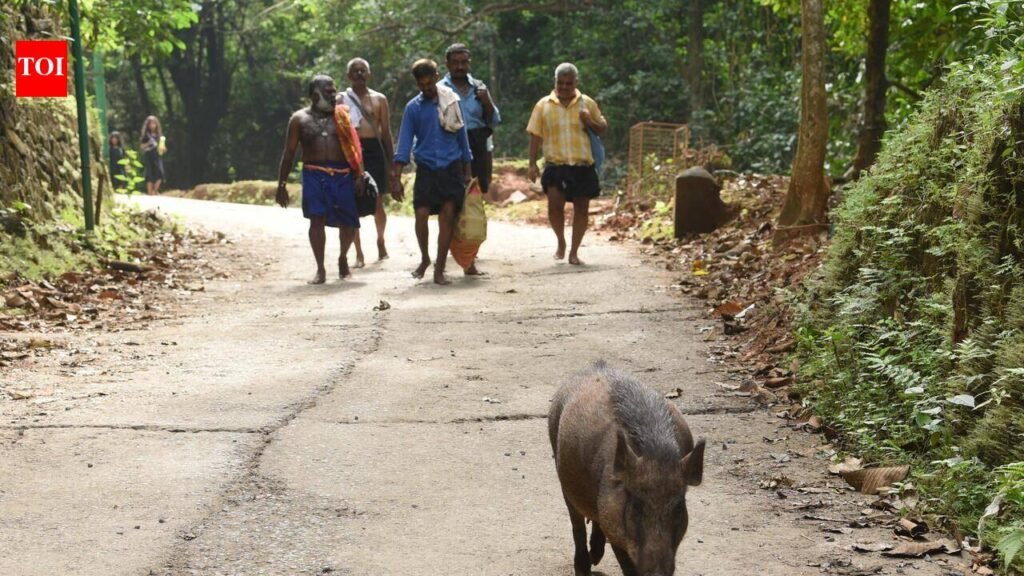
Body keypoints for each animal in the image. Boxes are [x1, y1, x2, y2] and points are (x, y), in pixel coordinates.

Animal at [548, 361, 705, 576]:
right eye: (636, 505)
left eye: (679, 507)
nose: (657, 571)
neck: (657, 454)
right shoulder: (613, 522)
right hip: (561, 473)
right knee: (577, 524)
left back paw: (595, 558)